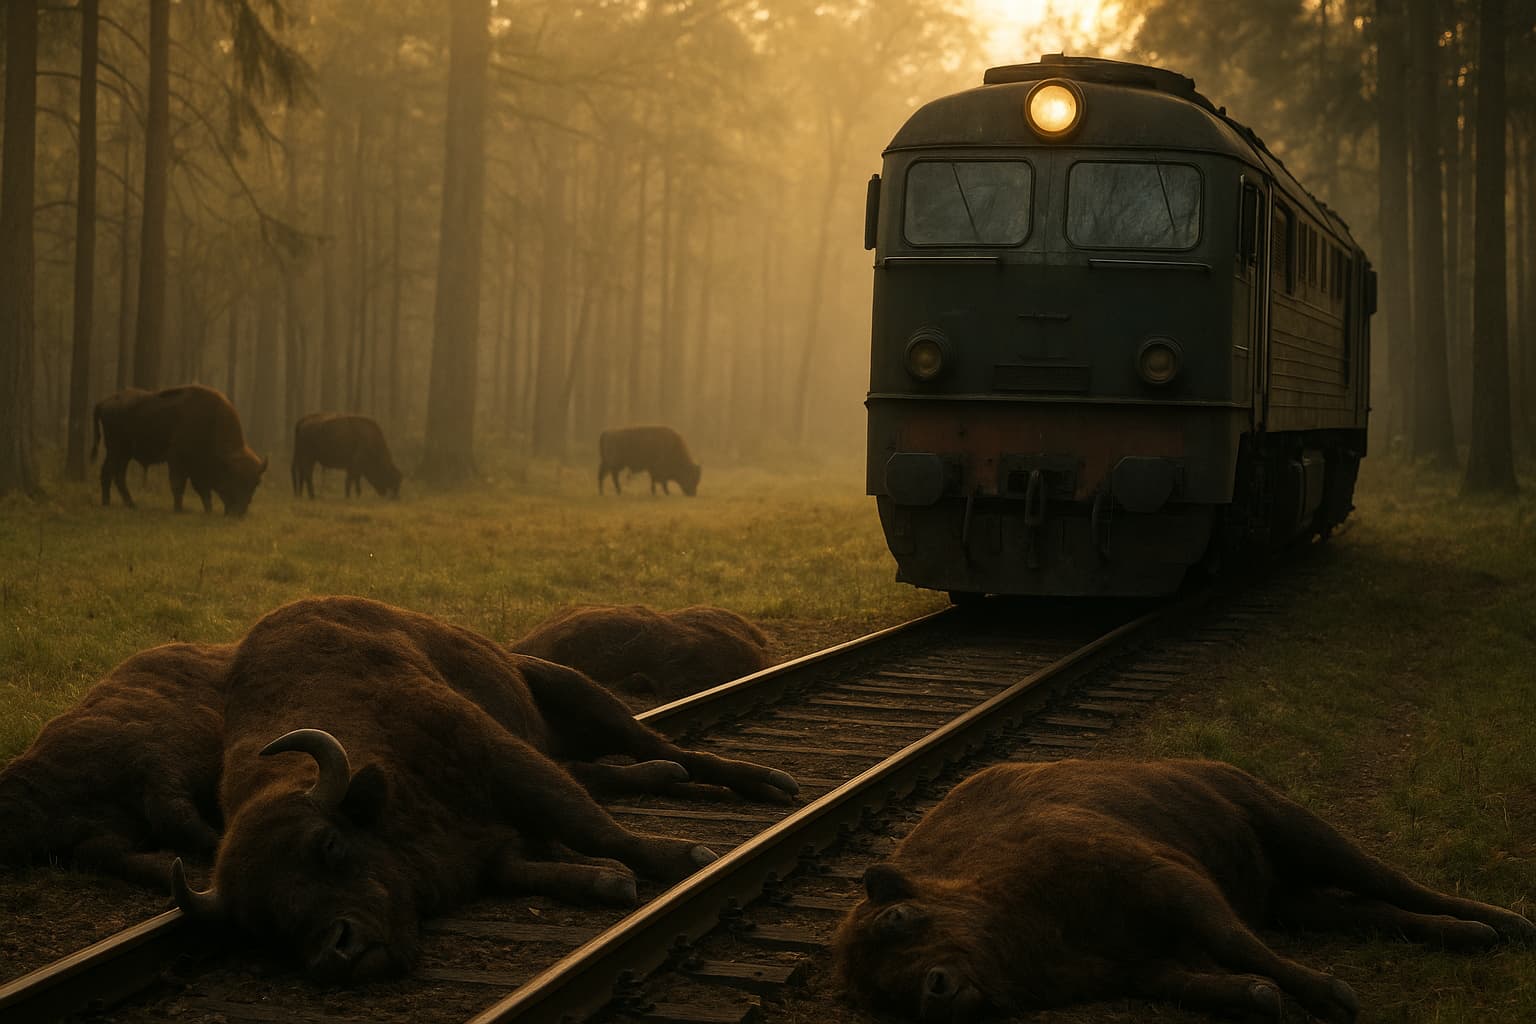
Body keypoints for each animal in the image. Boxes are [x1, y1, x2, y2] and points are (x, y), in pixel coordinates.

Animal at [93, 384, 269, 515]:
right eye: (234, 478)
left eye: (256, 483)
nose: (238, 513)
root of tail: (105, 402)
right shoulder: (178, 461)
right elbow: (179, 485)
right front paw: (179, 509)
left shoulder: (197, 470)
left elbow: (203, 491)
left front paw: (208, 511)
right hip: (116, 450)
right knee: (110, 473)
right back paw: (111, 503)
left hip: (123, 454)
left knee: (116, 475)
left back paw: (127, 504)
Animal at [834, 759, 1535, 1023]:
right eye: (883, 991)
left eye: (900, 918)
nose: (934, 989)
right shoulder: (1136, 967)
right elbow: (1206, 979)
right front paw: (1263, 997)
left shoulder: (1169, 880)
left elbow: (1233, 944)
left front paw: (1333, 996)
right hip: (1287, 898)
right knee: (1366, 910)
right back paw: (1473, 935)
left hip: (1295, 828)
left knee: (1387, 880)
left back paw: (1502, 924)